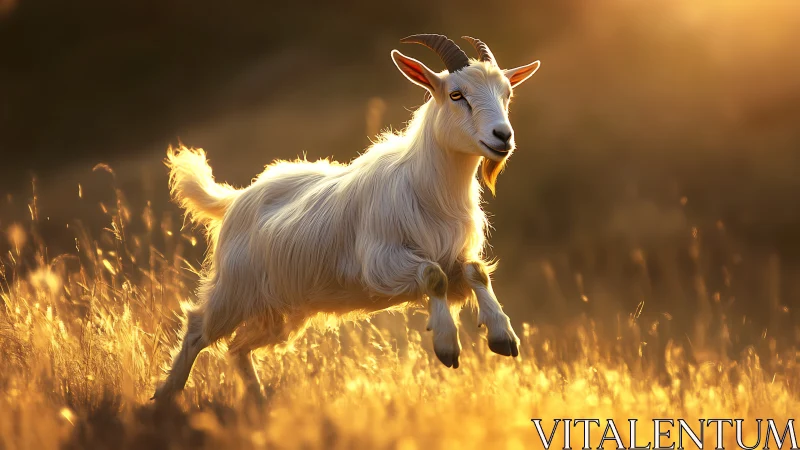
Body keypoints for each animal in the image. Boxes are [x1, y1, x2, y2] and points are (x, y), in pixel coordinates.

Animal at [153, 34, 540, 401]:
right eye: (457, 94)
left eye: (507, 94)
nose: (503, 136)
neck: (429, 187)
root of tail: (235, 199)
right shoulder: (381, 263)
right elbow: (434, 276)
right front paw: (446, 344)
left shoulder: (454, 255)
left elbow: (475, 272)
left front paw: (503, 336)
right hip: (233, 291)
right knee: (197, 329)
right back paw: (165, 397)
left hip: (281, 312)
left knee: (237, 347)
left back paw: (258, 400)